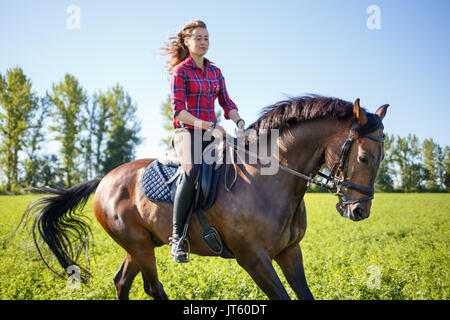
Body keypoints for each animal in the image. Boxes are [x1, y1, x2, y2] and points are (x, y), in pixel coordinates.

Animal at [22, 95, 388, 300]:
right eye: (364, 158)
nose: (360, 210)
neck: (270, 180)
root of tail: (105, 180)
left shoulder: (289, 252)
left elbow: (305, 294)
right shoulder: (253, 259)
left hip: (140, 244)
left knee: (122, 282)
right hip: (139, 246)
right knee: (151, 287)